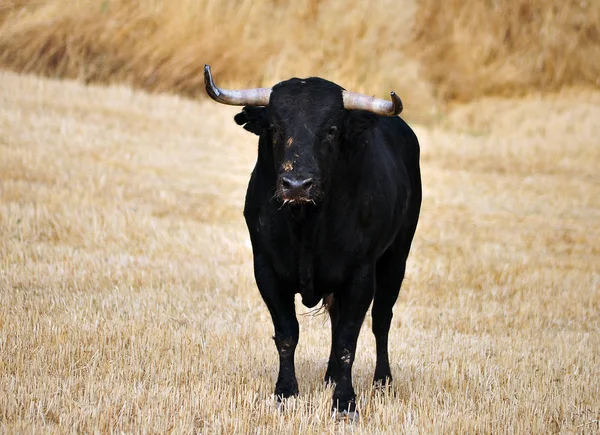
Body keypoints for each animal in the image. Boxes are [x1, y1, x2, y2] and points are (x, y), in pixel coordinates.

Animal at [206, 65, 422, 418]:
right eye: (273, 127)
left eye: (332, 129)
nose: (296, 185)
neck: (307, 225)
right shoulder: (266, 269)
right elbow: (287, 334)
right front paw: (285, 393)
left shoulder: (361, 274)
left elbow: (349, 339)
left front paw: (345, 402)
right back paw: (330, 376)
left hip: (396, 257)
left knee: (381, 320)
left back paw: (382, 382)